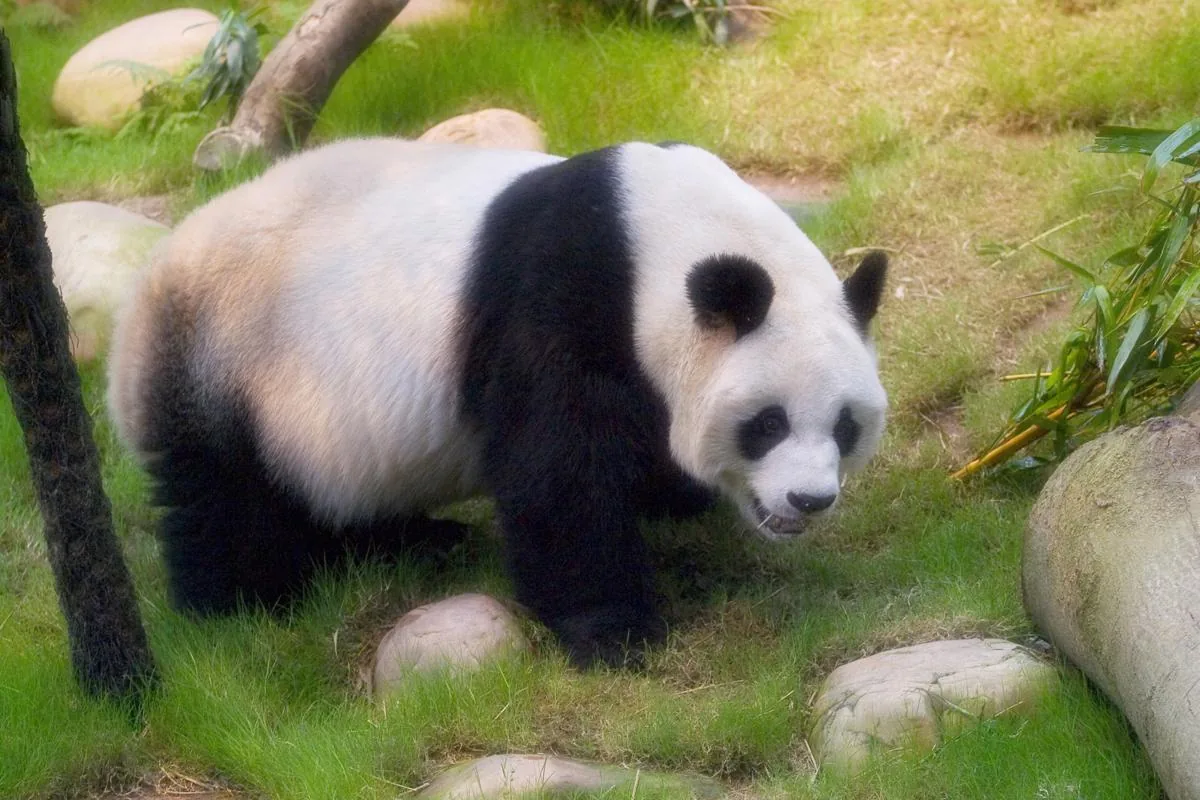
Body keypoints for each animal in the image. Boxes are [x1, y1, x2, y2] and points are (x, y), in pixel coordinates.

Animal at [108, 138, 888, 667]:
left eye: (845, 426)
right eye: (767, 423)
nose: (810, 500)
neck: (656, 237)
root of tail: (143, 295)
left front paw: (672, 497)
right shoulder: (558, 297)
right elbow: (556, 468)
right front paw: (615, 631)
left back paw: (413, 543)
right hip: (228, 363)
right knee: (226, 500)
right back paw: (240, 606)